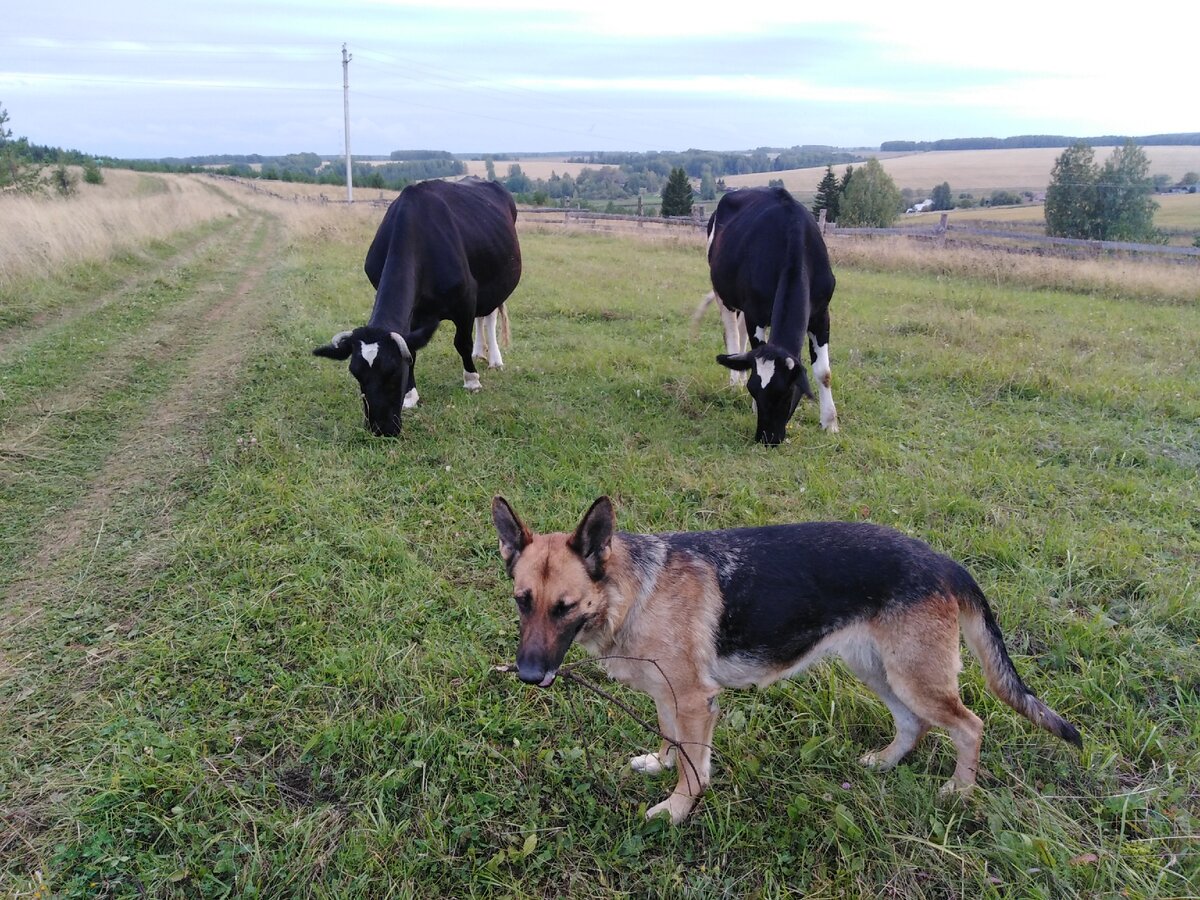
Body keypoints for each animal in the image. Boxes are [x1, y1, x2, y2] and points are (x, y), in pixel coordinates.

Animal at [309, 176, 520, 436]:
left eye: (392, 371)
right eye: (356, 374)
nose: (381, 429)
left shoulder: (467, 297)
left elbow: (462, 342)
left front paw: (472, 380)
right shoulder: (416, 313)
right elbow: (413, 348)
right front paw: (411, 395)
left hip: (498, 283)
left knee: (488, 317)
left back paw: (494, 360)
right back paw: (480, 352)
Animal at [492, 496, 1084, 830]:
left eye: (564, 607)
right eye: (523, 601)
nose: (527, 676)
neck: (632, 590)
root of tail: (943, 561)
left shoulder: (695, 701)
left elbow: (693, 767)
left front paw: (679, 810)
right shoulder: (669, 696)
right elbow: (671, 741)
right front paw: (659, 764)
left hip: (915, 678)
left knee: (970, 725)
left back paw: (960, 792)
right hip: (878, 672)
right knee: (912, 724)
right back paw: (886, 763)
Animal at [705, 188, 840, 446]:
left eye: (786, 393)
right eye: (754, 390)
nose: (766, 439)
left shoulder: (821, 314)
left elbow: (824, 372)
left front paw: (830, 423)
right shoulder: (755, 312)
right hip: (723, 292)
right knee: (732, 333)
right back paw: (734, 381)